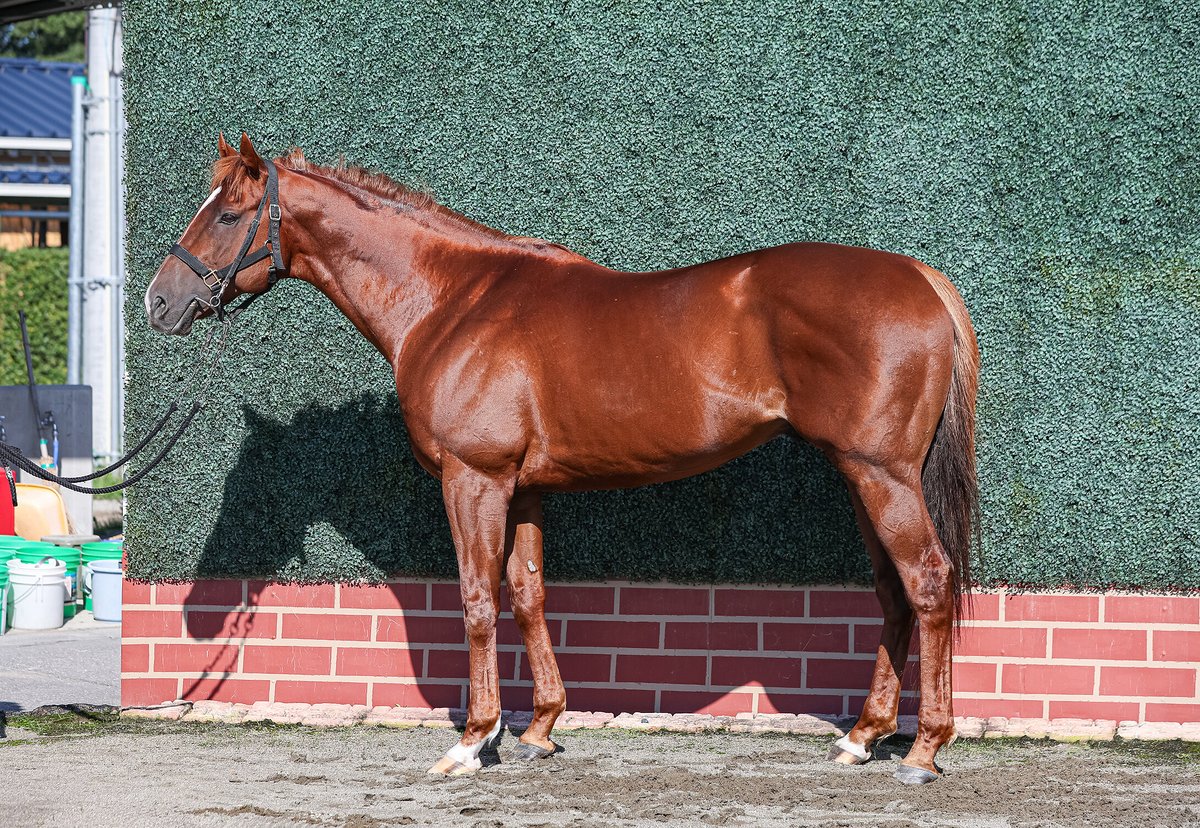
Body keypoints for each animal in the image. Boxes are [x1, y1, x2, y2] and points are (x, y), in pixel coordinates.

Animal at [146, 133, 980, 785]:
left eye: (227, 213)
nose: (158, 303)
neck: (453, 302)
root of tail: (921, 278)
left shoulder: (473, 479)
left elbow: (477, 601)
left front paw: (472, 742)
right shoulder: (523, 489)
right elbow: (528, 594)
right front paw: (539, 729)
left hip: (881, 475)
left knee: (927, 581)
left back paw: (923, 750)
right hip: (865, 475)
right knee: (894, 592)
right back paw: (863, 738)